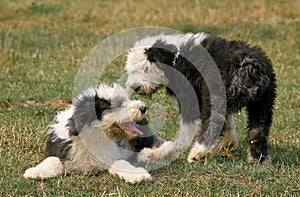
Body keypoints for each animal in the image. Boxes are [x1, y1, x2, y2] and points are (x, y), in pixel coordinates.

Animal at [23, 83, 169, 183]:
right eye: (118, 104)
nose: (143, 108)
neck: (94, 133)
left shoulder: (113, 155)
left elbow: (121, 163)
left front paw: (139, 175)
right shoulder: (59, 149)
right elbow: (52, 160)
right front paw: (34, 172)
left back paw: (150, 154)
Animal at [124, 32, 276, 165]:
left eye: (146, 68)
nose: (135, 87)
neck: (175, 58)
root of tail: (248, 66)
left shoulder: (190, 99)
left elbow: (186, 130)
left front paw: (166, 151)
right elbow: (229, 120)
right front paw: (229, 143)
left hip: (217, 95)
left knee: (212, 124)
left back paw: (197, 154)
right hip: (263, 103)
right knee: (258, 130)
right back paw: (258, 158)